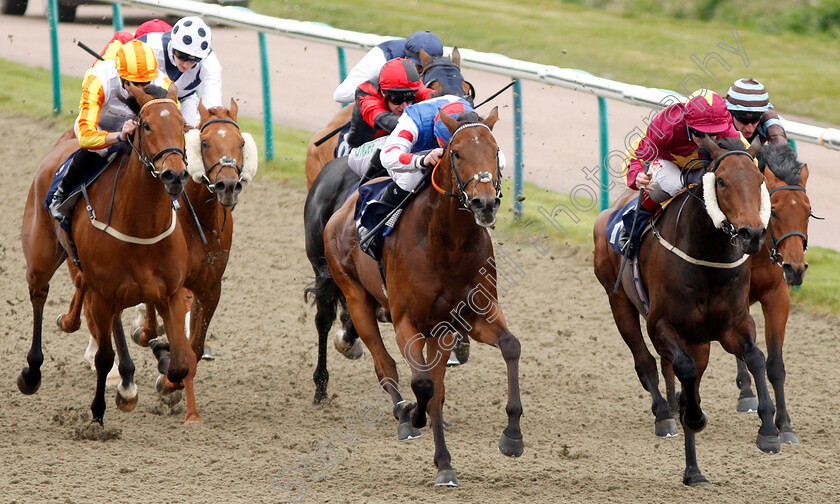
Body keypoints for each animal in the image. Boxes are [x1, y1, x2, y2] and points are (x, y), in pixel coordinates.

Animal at [19, 85, 195, 426]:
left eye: (183, 125)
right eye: (146, 125)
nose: (175, 175)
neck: (141, 225)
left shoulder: (169, 292)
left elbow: (180, 362)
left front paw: (162, 368)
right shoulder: (103, 294)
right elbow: (103, 357)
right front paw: (97, 416)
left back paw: (126, 381)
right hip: (41, 257)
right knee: (39, 295)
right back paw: (32, 371)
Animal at [320, 107, 520, 488]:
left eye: (495, 151)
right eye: (457, 153)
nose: (485, 203)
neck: (447, 244)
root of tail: (344, 207)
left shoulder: (471, 317)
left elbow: (510, 347)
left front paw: (512, 435)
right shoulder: (406, 322)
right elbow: (423, 383)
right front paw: (412, 413)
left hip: (437, 331)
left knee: (435, 388)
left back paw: (444, 463)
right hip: (357, 298)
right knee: (386, 366)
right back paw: (405, 416)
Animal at [592, 137, 776, 484]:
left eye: (760, 180)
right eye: (721, 181)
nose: (753, 234)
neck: (707, 258)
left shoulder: (734, 325)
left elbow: (757, 357)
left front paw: (769, 429)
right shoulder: (662, 326)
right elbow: (684, 372)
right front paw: (690, 415)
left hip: (699, 340)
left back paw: (694, 471)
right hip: (619, 302)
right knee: (645, 362)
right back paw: (665, 416)